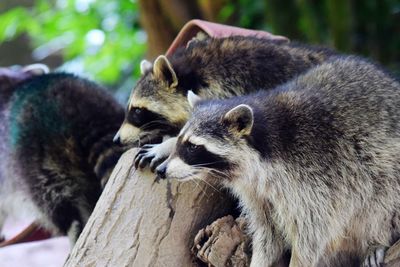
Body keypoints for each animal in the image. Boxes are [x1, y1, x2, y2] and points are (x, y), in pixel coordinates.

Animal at [158, 57, 400, 267]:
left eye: (193, 146)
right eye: (179, 139)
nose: (162, 170)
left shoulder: (318, 178)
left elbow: (311, 235)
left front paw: (299, 260)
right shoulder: (257, 193)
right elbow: (267, 234)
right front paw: (259, 260)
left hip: (383, 167)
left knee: (383, 199)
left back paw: (378, 239)